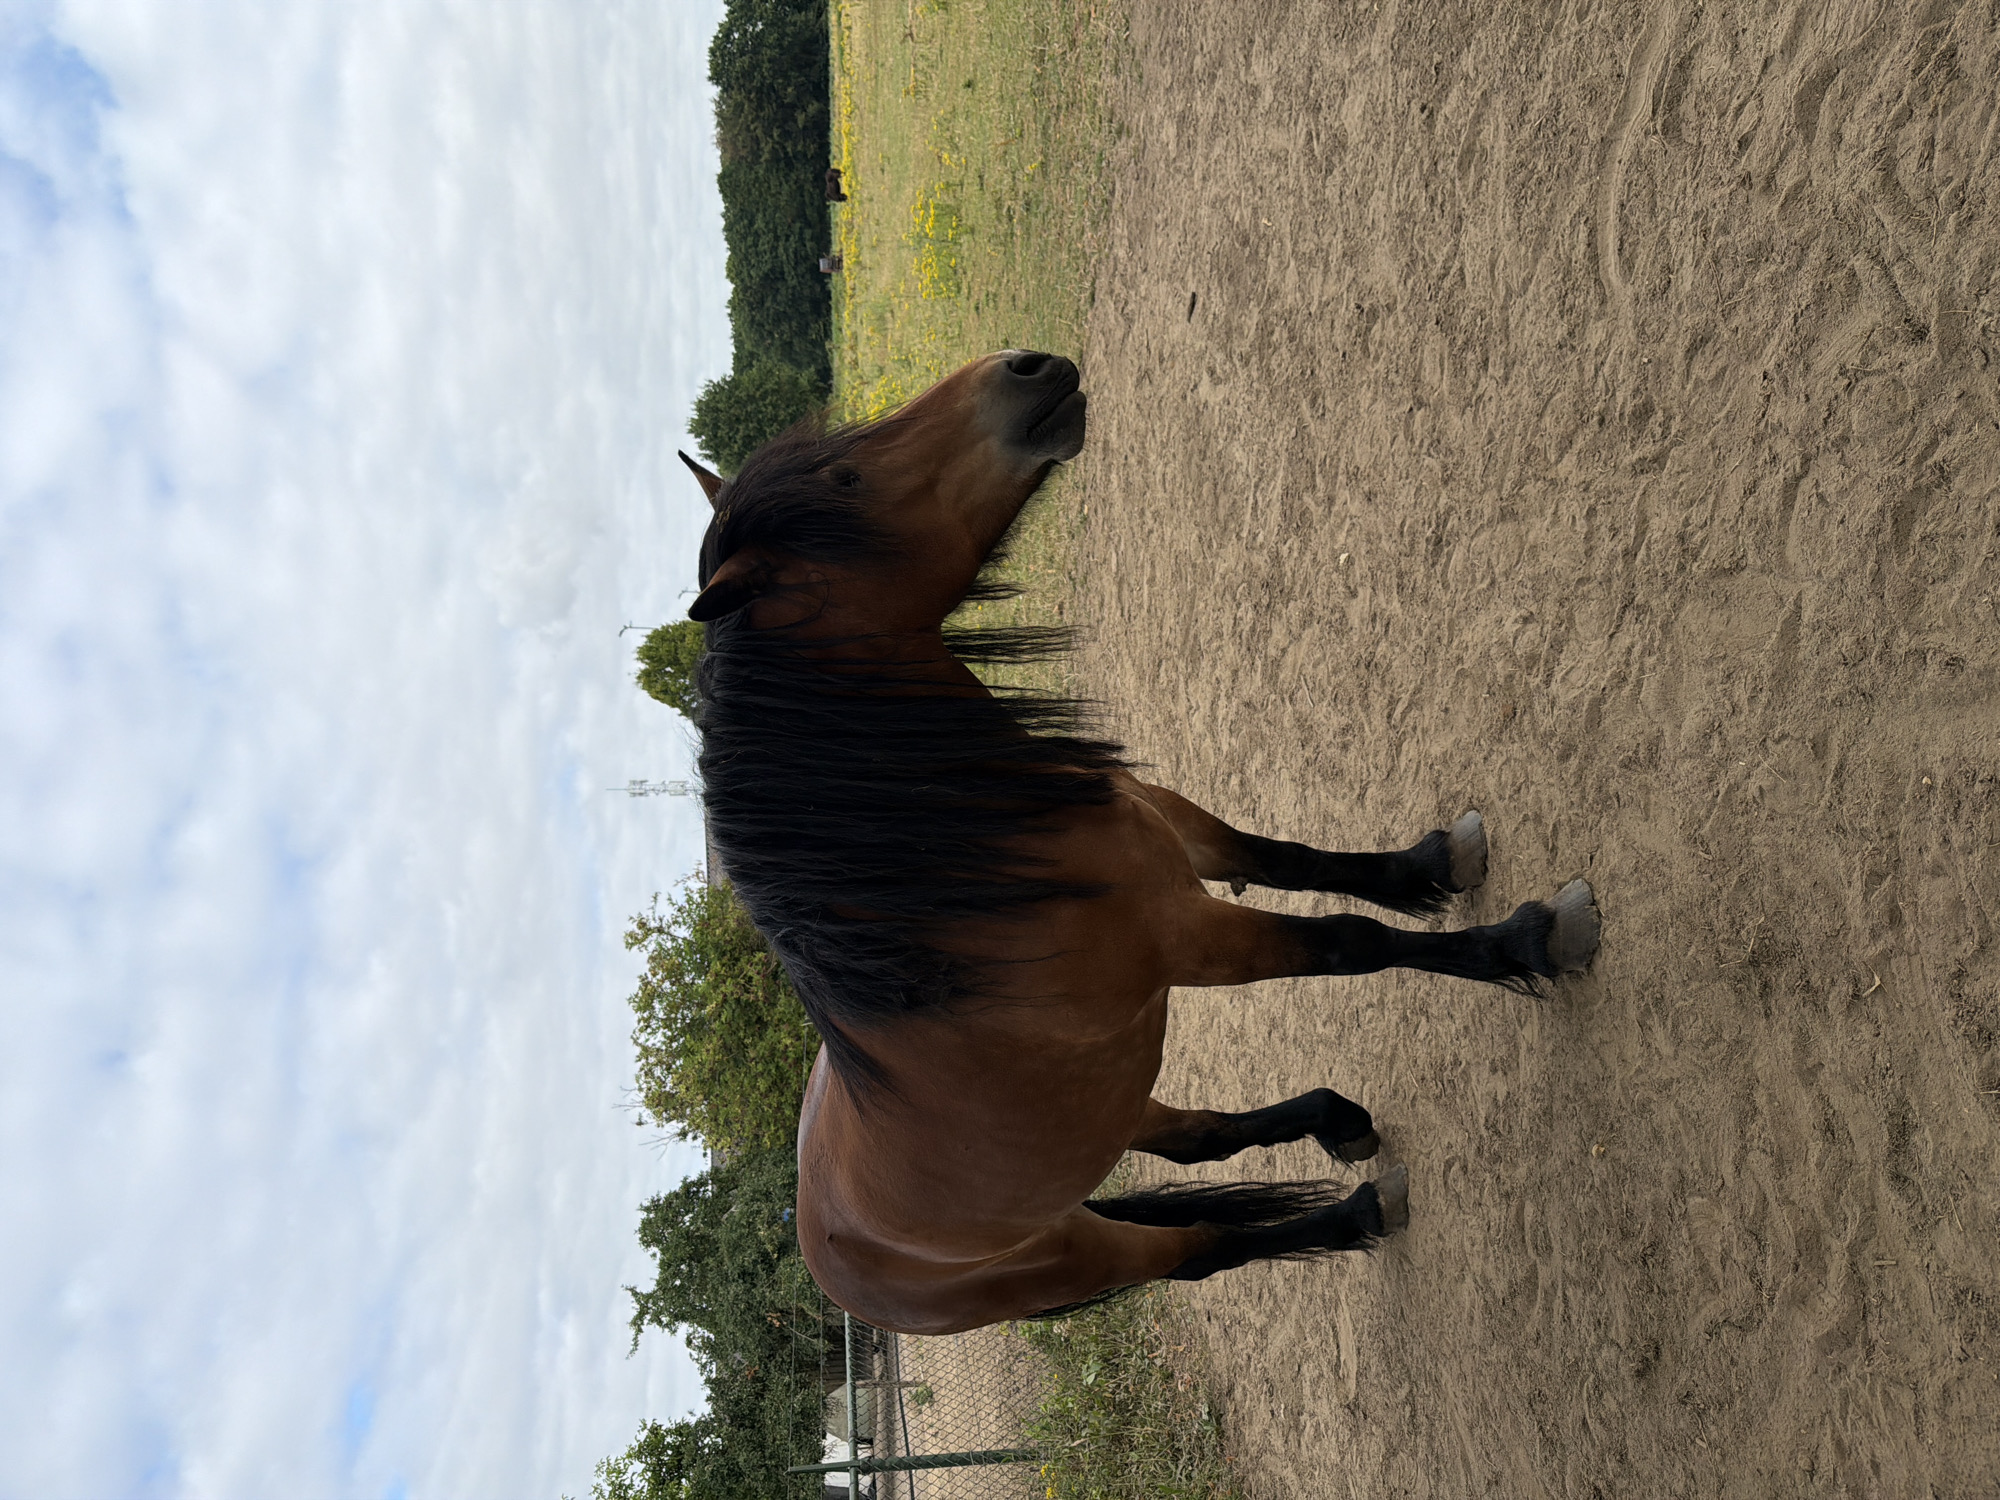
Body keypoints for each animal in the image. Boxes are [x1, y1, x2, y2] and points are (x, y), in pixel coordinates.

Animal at [678, 350, 1599, 1335]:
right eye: (845, 480)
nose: (1025, 366)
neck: (962, 874)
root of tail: (835, 1268)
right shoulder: (1191, 940)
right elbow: (1352, 942)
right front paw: (1527, 940)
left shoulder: (1178, 839)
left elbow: (1280, 857)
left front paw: (1430, 865)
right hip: (1077, 1252)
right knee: (1202, 1247)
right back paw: (1359, 1211)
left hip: (1112, 1106)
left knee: (1199, 1141)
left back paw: (1337, 1119)